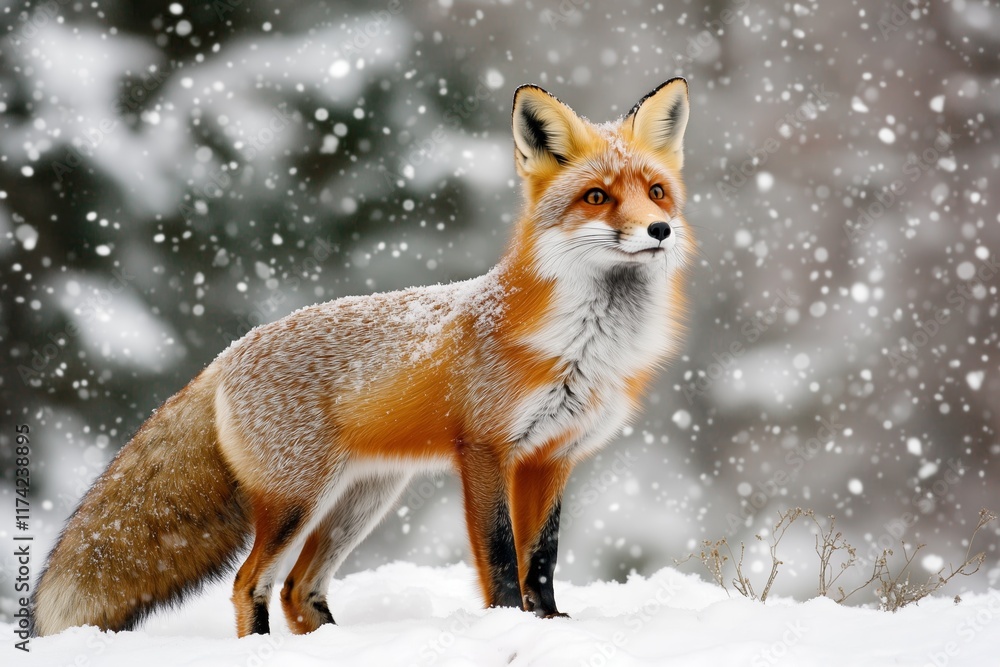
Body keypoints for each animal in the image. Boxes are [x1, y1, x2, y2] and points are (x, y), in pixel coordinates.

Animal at [32, 78, 693, 638]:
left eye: (657, 192)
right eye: (597, 196)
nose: (659, 230)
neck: (585, 347)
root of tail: (231, 350)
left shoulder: (553, 456)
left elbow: (543, 561)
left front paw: (550, 626)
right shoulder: (485, 450)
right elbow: (504, 559)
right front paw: (508, 627)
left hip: (363, 499)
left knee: (299, 589)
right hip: (297, 499)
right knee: (252, 582)